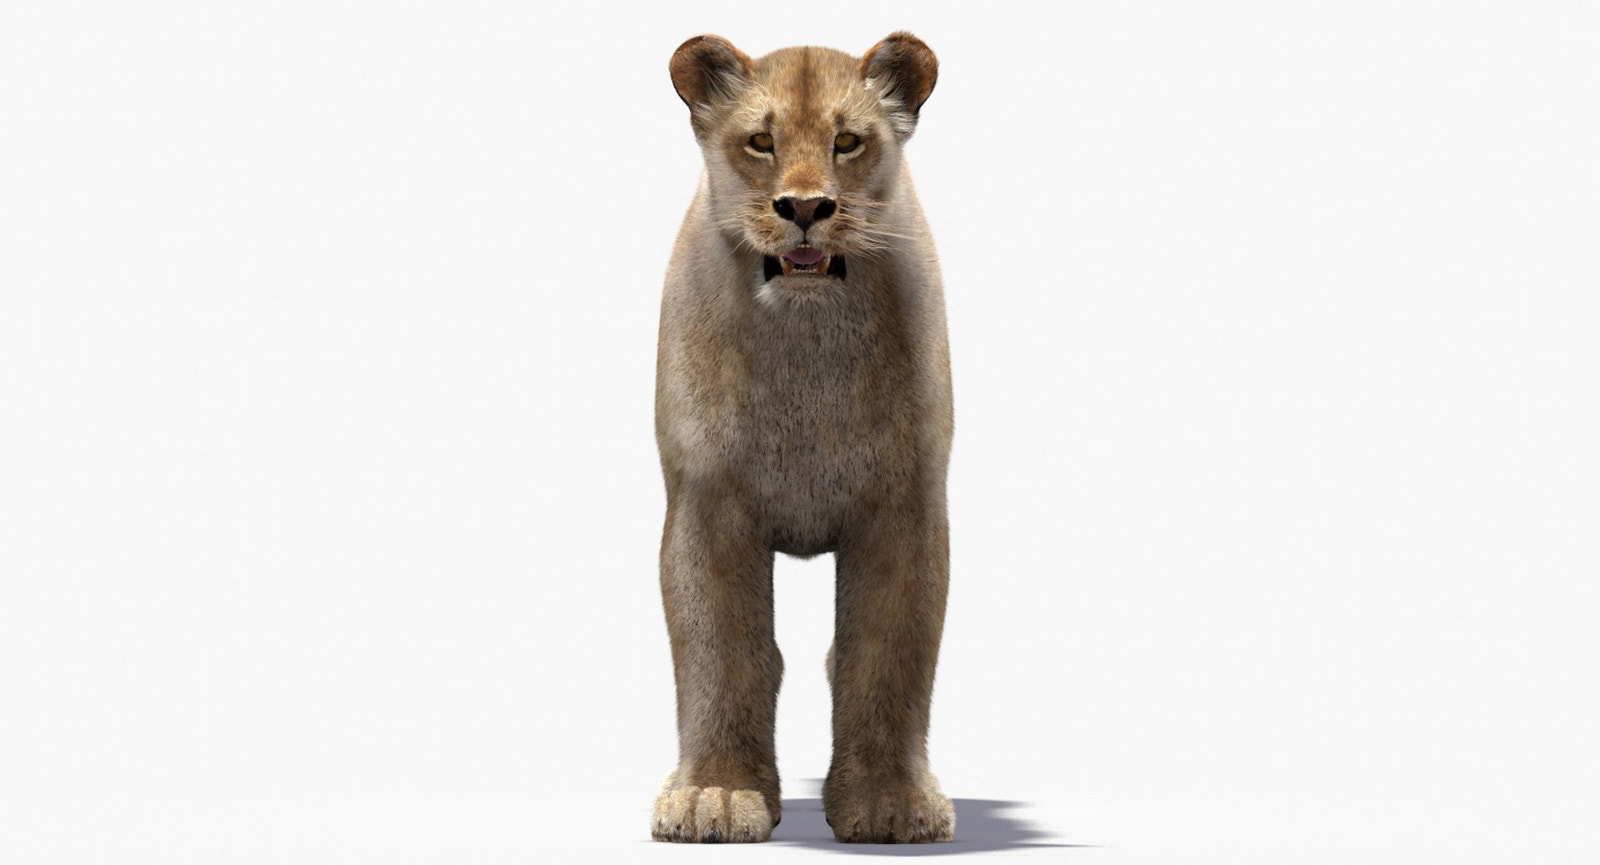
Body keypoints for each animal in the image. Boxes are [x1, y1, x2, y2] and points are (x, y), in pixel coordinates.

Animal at [651, 32, 955, 844]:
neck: (806, 345)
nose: (808, 208)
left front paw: (888, 803)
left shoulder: (904, 505)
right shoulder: (707, 503)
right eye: (762, 140)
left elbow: (890, 655)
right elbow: (721, 653)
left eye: (848, 142)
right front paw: (718, 796)